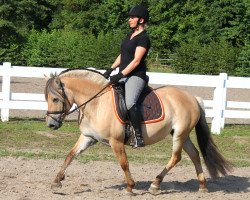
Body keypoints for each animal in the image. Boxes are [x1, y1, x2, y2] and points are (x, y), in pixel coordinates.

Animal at [44, 69, 231, 195]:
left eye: (55, 99)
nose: (51, 124)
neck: (96, 103)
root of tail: (193, 98)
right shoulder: (88, 137)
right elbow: (70, 155)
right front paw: (56, 182)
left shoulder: (116, 141)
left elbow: (124, 163)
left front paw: (130, 187)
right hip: (182, 134)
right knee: (194, 154)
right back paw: (202, 186)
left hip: (180, 133)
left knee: (176, 157)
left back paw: (155, 184)